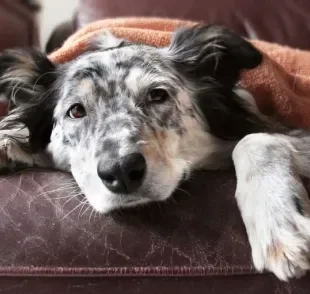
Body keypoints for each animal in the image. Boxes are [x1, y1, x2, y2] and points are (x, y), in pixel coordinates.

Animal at [0, 25, 310, 280]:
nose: (121, 172)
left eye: (157, 94)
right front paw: (10, 142)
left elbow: (254, 140)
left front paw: (279, 226)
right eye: (76, 111)